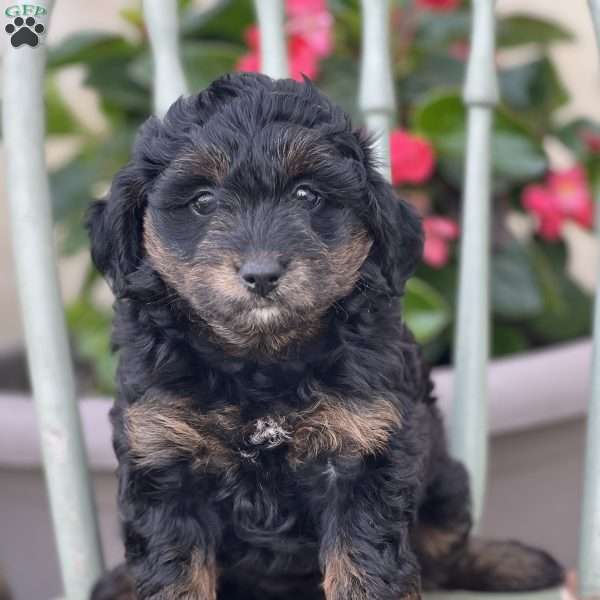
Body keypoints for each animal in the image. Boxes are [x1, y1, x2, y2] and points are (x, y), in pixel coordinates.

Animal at [88, 75, 564, 600]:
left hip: (447, 481)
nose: (261, 273)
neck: (260, 362)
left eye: (307, 194)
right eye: (202, 201)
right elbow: (175, 572)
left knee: (447, 553)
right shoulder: (162, 454)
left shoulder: (363, 448)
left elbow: (363, 566)